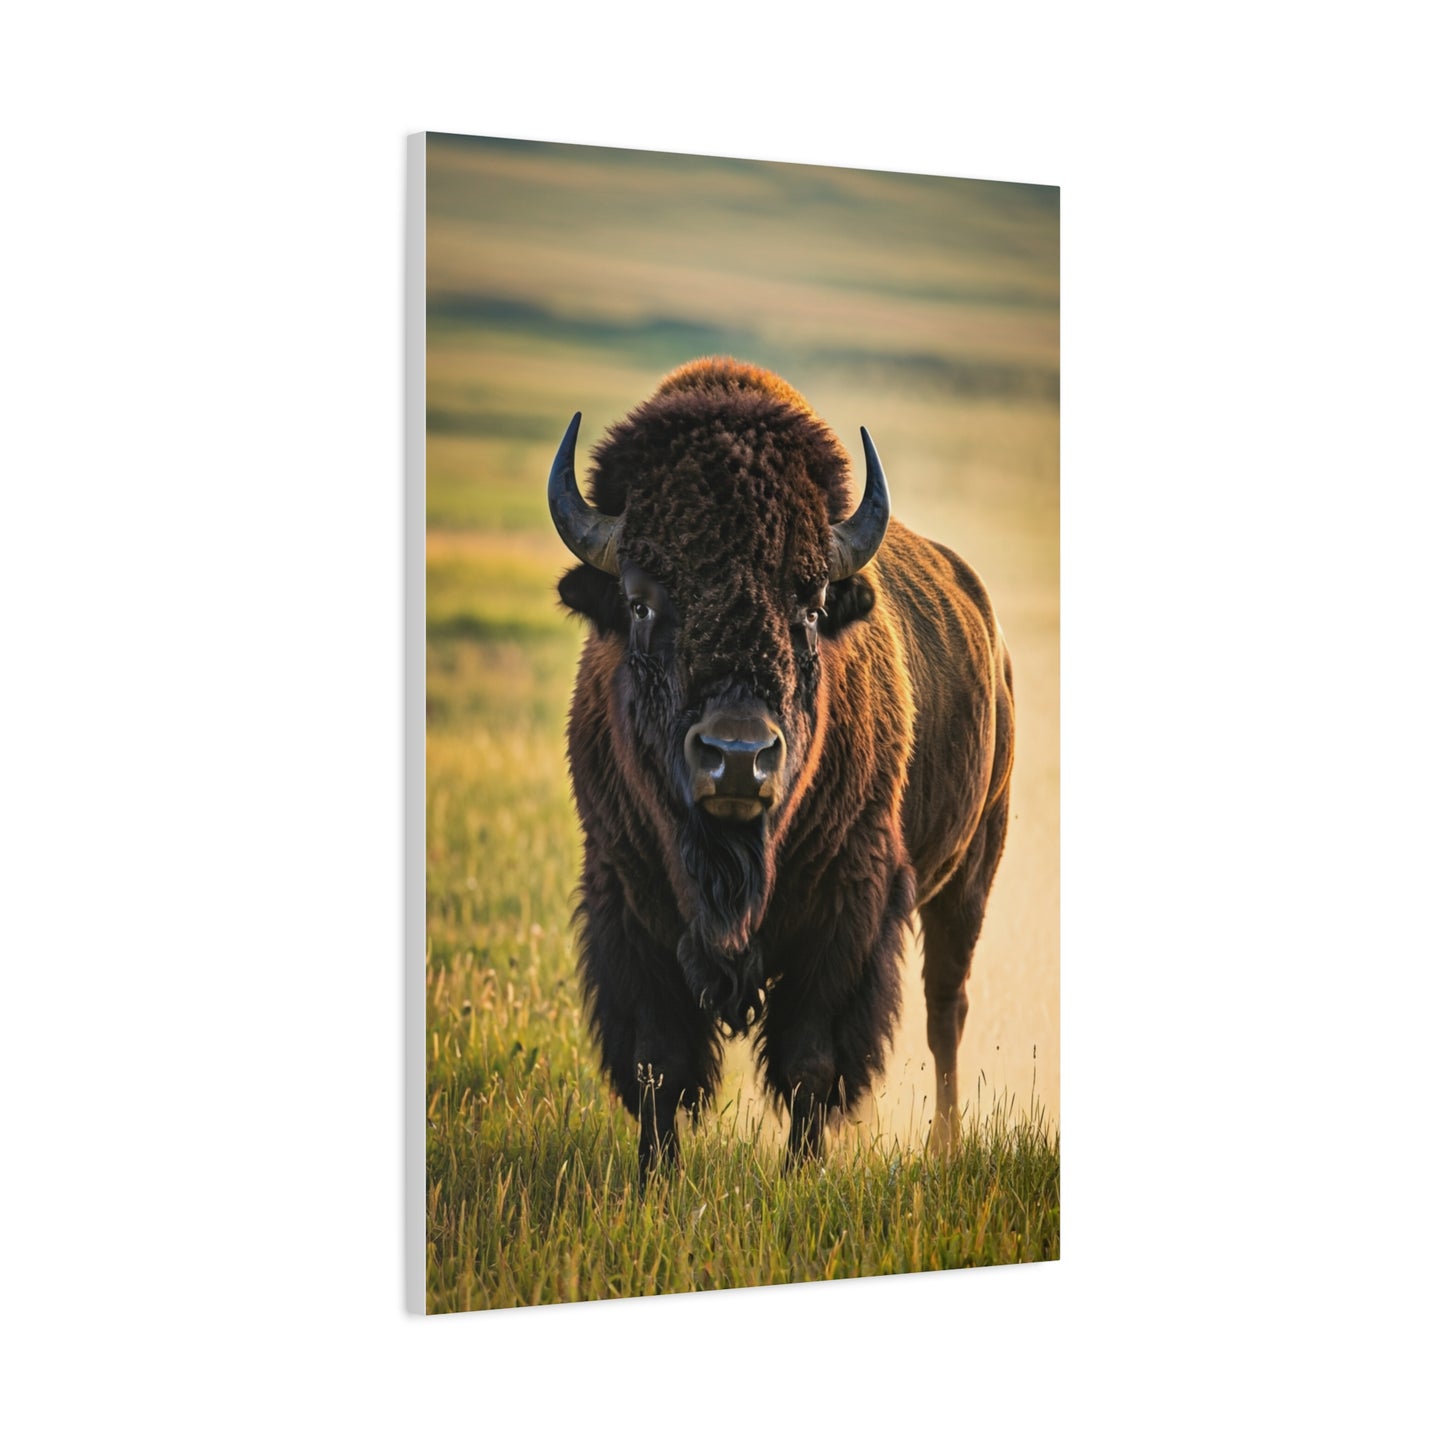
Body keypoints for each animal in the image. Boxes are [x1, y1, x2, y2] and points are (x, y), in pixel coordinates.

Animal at [549, 358, 1014, 1179]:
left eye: (811, 601)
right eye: (638, 601)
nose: (738, 759)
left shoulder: (848, 908)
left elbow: (810, 1060)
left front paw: (802, 1174)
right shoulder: (625, 896)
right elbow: (657, 1060)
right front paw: (654, 1177)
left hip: (969, 873)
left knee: (945, 1009)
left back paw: (944, 1144)